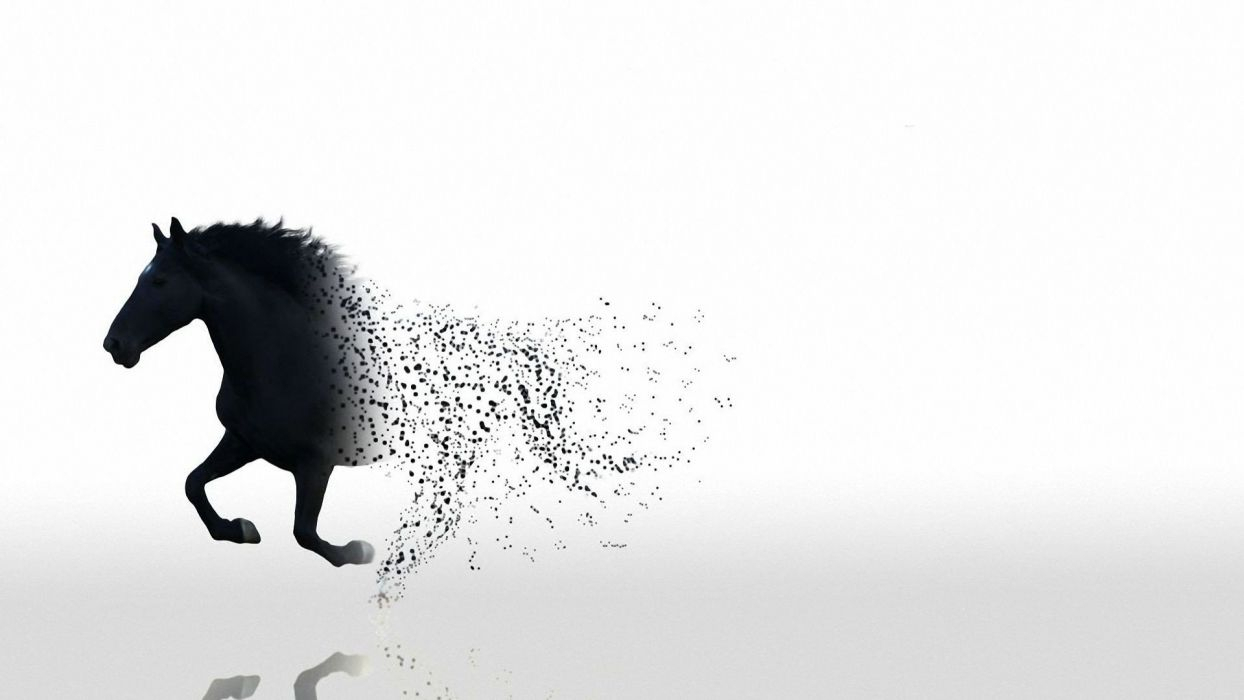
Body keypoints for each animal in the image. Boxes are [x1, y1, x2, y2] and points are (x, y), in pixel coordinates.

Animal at [103, 218, 381, 566]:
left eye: (159, 281)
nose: (113, 344)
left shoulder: (317, 463)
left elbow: (304, 532)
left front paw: (360, 550)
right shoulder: (243, 442)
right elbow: (192, 483)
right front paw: (239, 529)